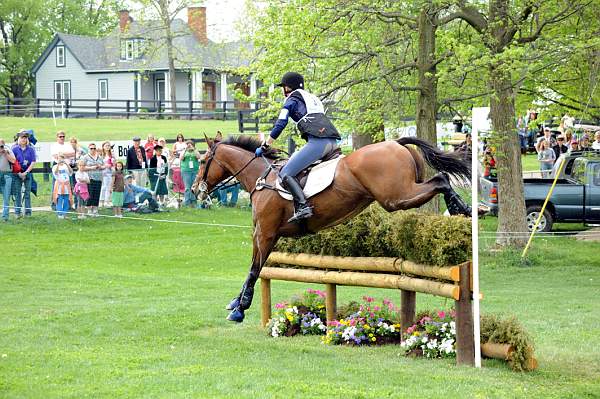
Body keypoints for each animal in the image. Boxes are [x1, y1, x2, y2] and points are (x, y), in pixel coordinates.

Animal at [191, 133, 468, 324]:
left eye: (203, 160)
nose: (195, 190)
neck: (262, 178)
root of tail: (397, 143)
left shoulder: (266, 233)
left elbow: (254, 269)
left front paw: (240, 309)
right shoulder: (264, 235)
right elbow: (253, 266)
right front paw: (235, 303)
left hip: (396, 197)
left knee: (441, 179)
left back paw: (461, 209)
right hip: (403, 192)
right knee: (440, 179)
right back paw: (462, 209)